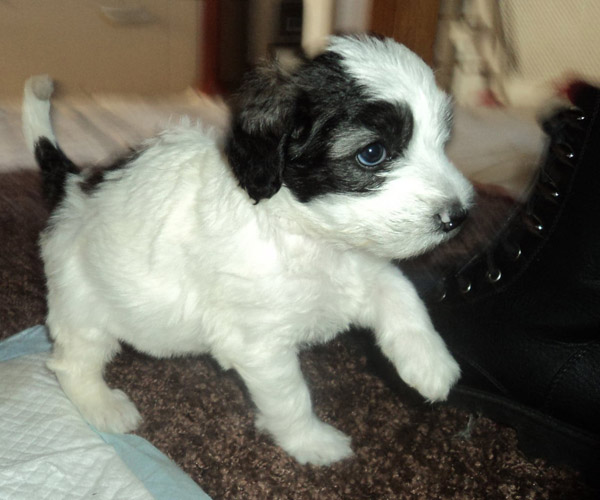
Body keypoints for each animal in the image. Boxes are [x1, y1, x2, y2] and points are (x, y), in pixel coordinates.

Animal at [23, 35, 474, 466]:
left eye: (442, 141)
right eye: (372, 153)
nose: (458, 216)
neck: (308, 235)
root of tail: (73, 185)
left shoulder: (365, 266)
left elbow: (402, 296)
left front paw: (431, 364)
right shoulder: (262, 345)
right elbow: (292, 397)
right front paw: (311, 441)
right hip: (83, 305)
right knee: (73, 362)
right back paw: (103, 406)